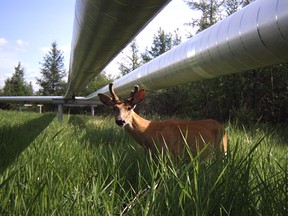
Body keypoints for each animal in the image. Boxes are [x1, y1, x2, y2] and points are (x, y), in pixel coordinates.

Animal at [98, 83, 228, 159]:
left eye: (129, 108)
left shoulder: (172, 152)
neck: (149, 133)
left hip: (222, 147)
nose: (120, 121)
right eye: (114, 108)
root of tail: (222, 127)